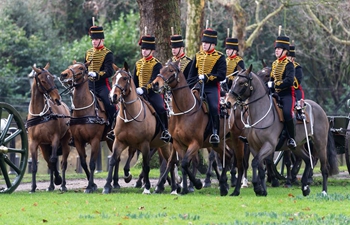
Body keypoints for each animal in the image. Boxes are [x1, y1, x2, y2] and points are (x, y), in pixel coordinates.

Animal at [25, 62, 71, 192]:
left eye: (52, 78)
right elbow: (36, 165)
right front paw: (33, 187)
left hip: (65, 143)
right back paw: (50, 186)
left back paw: (63, 184)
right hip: (44, 147)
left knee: (62, 163)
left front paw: (58, 179)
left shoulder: (55, 139)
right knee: (49, 163)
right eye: (43, 80)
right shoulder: (34, 142)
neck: (41, 116)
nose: (57, 99)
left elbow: (54, 160)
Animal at [59, 61, 115, 193]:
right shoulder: (78, 141)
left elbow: (92, 163)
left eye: (81, 68)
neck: (83, 111)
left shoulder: (94, 140)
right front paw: (93, 184)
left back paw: (113, 184)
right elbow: (84, 162)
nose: (64, 75)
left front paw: (89, 186)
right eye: (70, 66)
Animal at [102, 62, 176, 195]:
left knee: (170, 163)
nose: (113, 97)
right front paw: (107, 186)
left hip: (168, 145)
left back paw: (173, 189)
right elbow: (113, 160)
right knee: (169, 163)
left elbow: (146, 166)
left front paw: (146, 187)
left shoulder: (144, 144)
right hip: (161, 145)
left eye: (124, 78)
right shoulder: (119, 141)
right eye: (113, 78)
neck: (129, 115)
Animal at [151, 59, 246, 195]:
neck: (183, 112)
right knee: (228, 156)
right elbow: (182, 164)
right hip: (218, 142)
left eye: (170, 70)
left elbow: (185, 162)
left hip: (236, 140)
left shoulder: (195, 143)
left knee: (237, 160)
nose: (155, 84)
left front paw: (196, 184)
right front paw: (185, 188)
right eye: (160, 70)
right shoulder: (178, 144)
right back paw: (223, 185)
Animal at [228, 64, 338, 196]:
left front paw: (259, 188)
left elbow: (256, 162)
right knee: (308, 159)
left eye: (242, 82)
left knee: (323, 167)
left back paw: (323, 192)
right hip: (297, 146)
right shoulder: (254, 147)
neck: (261, 114)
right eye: (233, 81)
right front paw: (262, 189)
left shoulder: (269, 145)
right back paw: (305, 187)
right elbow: (259, 166)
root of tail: (321, 109)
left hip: (320, 143)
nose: (228, 101)